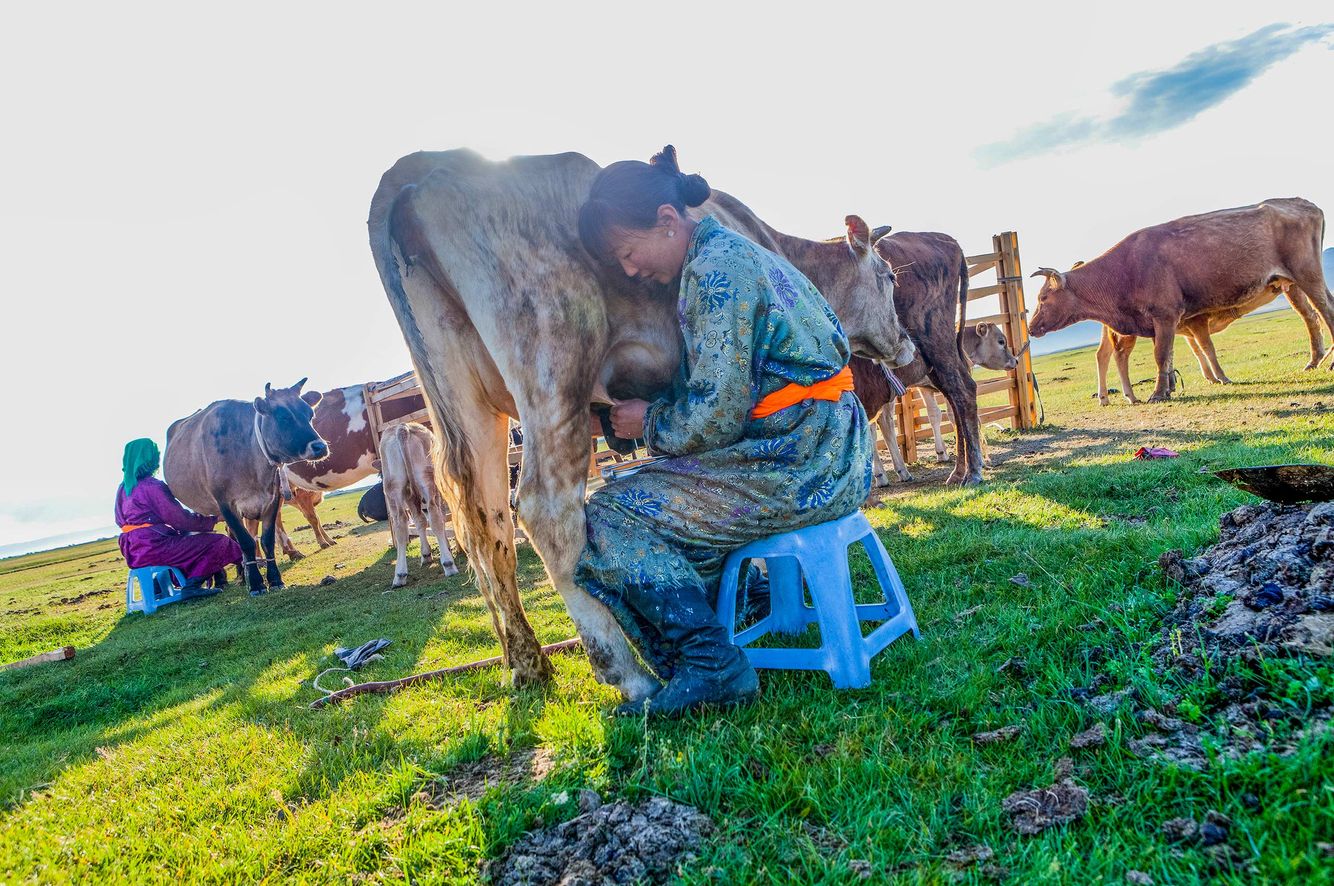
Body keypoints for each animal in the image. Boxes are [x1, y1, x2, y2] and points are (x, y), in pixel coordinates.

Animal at [163, 376, 328, 592]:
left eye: (310, 414)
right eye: (284, 417)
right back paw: (226, 579)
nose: (320, 447)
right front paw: (256, 583)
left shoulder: (272, 500)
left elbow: (266, 540)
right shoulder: (226, 505)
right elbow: (246, 542)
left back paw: (242, 575)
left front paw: (274, 579)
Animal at [378, 421, 461, 587]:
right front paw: (445, 547)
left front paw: (426, 554)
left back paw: (400, 575)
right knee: (435, 517)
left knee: (401, 525)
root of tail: (402, 427)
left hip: (393, 487)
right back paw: (448, 565)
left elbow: (419, 521)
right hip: (427, 480)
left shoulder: (411, 499)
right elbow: (440, 518)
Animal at [1029, 197, 1334, 400]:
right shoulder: (1163, 322)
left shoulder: (1165, 315)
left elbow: (1162, 355)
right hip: (1290, 283)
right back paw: (1313, 362)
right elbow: (1171, 355)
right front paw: (1171, 388)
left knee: (1325, 310)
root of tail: (1303, 203)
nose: (1031, 328)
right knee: (1310, 316)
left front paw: (1159, 393)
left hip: (1308, 274)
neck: (1123, 271)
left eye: (1043, 297)